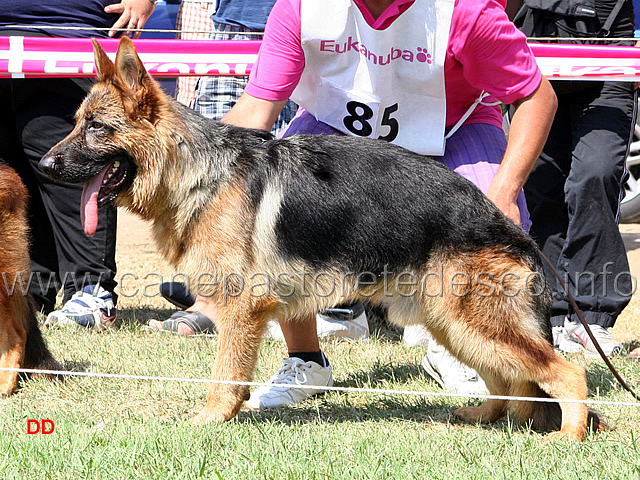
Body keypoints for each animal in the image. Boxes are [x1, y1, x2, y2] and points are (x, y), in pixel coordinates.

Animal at [40, 37, 600, 440]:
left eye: (96, 128)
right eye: (76, 123)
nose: (44, 166)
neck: (197, 171)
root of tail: (509, 228)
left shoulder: (241, 310)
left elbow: (226, 373)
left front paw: (211, 419)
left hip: (474, 323)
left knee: (565, 374)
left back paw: (566, 438)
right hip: (455, 325)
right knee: (513, 382)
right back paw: (487, 416)